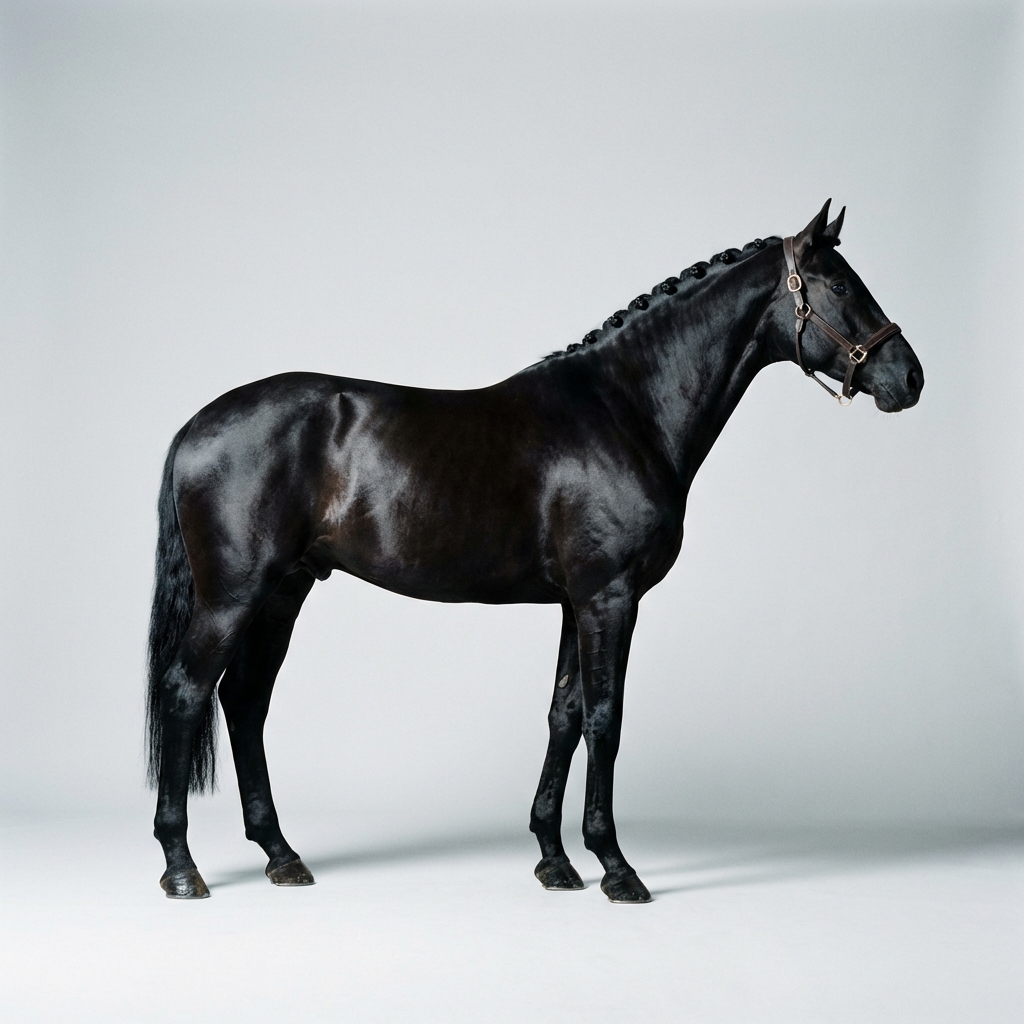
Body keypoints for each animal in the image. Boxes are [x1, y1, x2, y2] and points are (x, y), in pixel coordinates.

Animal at [146, 200, 924, 902]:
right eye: (840, 285)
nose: (909, 378)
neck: (626, 411)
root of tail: (193, 426)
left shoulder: (574, 602)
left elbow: (564, 715)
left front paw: (555, 860)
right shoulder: (610, 597)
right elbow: (606, 719)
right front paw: (616, 867)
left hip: (284, 592)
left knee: (245, 702)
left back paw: (281, 855)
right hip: (234, 596)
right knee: (187, 692)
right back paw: (182, 867)